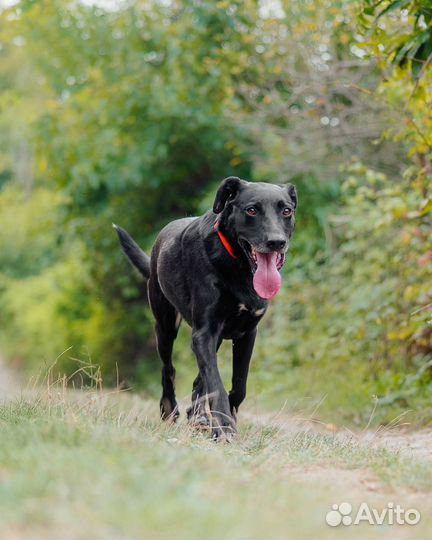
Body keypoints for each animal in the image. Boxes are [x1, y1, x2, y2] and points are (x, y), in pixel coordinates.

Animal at [114, 177, 296, 438]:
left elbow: (238, 385)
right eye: (251, 210)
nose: (276, 242)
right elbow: (215, 382)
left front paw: (223, 418)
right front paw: (225, 427)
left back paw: (198, 416)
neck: (239, 267)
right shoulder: (204, 333)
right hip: (165, 326)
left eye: (286, 211)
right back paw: (171, 410)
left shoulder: (247, 334)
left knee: (198, 381)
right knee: (168, 369)